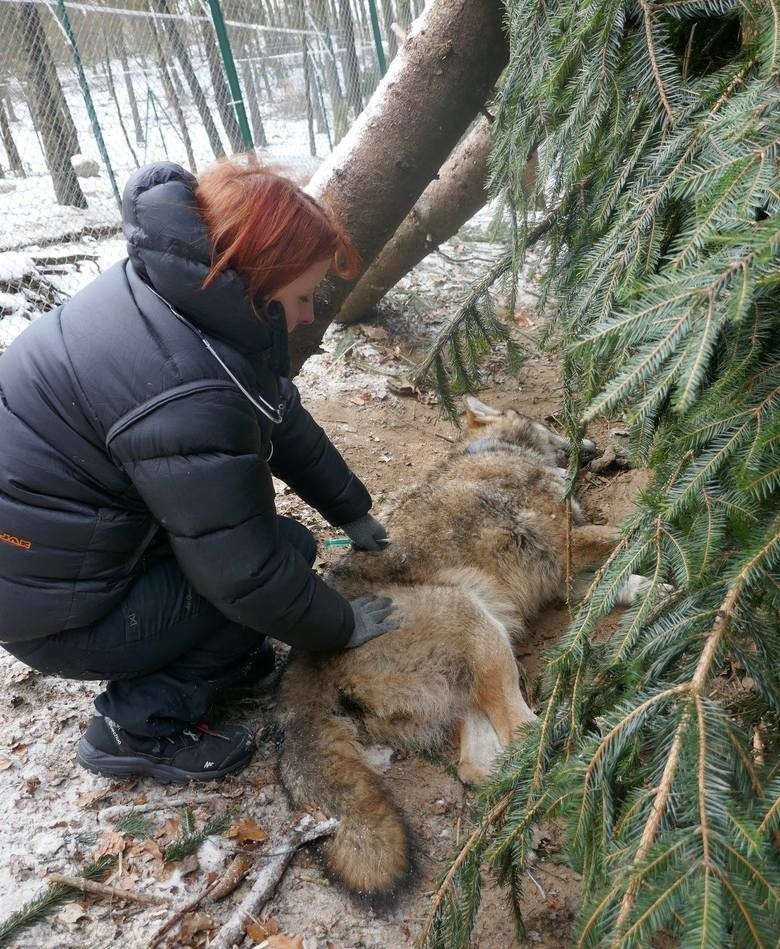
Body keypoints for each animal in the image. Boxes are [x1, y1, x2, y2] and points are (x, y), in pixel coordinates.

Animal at [278, 396, 644, 900]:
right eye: (548, 424)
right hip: (478, 626)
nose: (590, 447)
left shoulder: (563, 577)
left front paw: (653, 587)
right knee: (522, 735)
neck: (490, 452)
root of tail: (304, 661)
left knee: (479, 767)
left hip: (475, 669)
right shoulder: (567, 544)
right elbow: (628, 530)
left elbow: (617, 578)